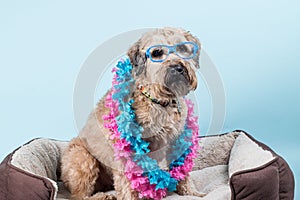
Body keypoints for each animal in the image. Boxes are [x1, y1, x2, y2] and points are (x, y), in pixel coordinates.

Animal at [62, 27, 205, 199]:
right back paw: (102, 196)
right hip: (82, 158)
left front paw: (191, 192)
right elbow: (127, 182)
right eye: (157, 53)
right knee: (79, 195)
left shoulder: (177, 140)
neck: (158, 100)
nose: (177, 68)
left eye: (182, 48)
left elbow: (182, 170)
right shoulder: (126, 148)